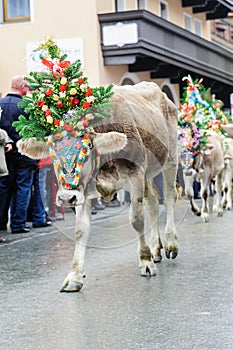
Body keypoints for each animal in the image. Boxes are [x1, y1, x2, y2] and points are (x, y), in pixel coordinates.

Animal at [17, 82, 178, 292]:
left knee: (169, 196)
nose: (66, 198)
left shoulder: (135, 174)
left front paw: (145, 262)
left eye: (88, 148)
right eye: (52, 153)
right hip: (149, 171)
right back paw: (155, 249)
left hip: (171, 158)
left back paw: (170, 244)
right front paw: (74, 276)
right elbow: (80, 230)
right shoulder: (83, 192)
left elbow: (136, 220)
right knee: (152, 200)